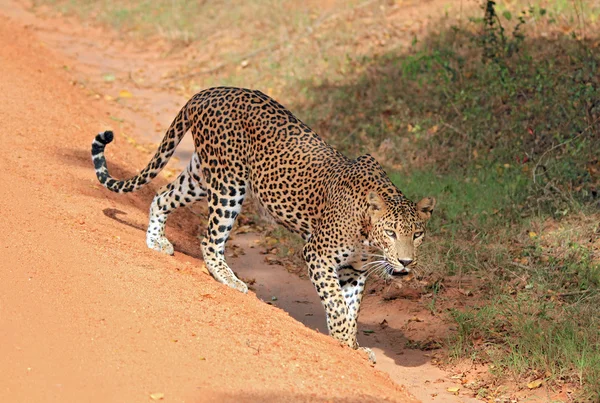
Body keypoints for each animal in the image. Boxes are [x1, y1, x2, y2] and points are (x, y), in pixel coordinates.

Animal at [90, 86, 436, 362]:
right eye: (391, 233)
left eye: (417, 234)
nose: (406, 262)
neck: (366, 232)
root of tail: (209, 91)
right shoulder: (317, 254)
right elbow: (336, 303)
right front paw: (343, 343)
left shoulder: (354, 270)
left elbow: (350, 308)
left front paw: (350, 344)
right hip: (229, 184)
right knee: (210, 238)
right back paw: (230, 280)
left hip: (201, 175)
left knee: (162, 196)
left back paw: (156, 241)